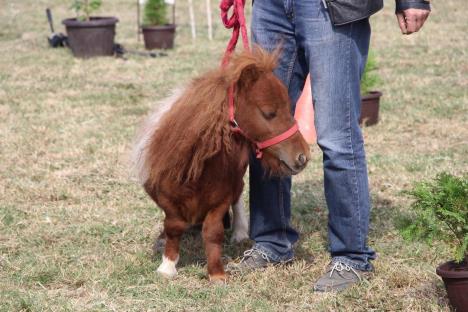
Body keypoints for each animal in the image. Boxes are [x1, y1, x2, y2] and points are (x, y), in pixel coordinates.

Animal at [132, 47, 310, 282]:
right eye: (269, 113)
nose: (303, 157)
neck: (198, 168)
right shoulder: (166, 198)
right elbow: (173, 226)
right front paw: (167, 267)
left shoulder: (220, 199)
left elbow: (213, 231)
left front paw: (217, 273)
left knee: (239, 194)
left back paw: (239, 232)